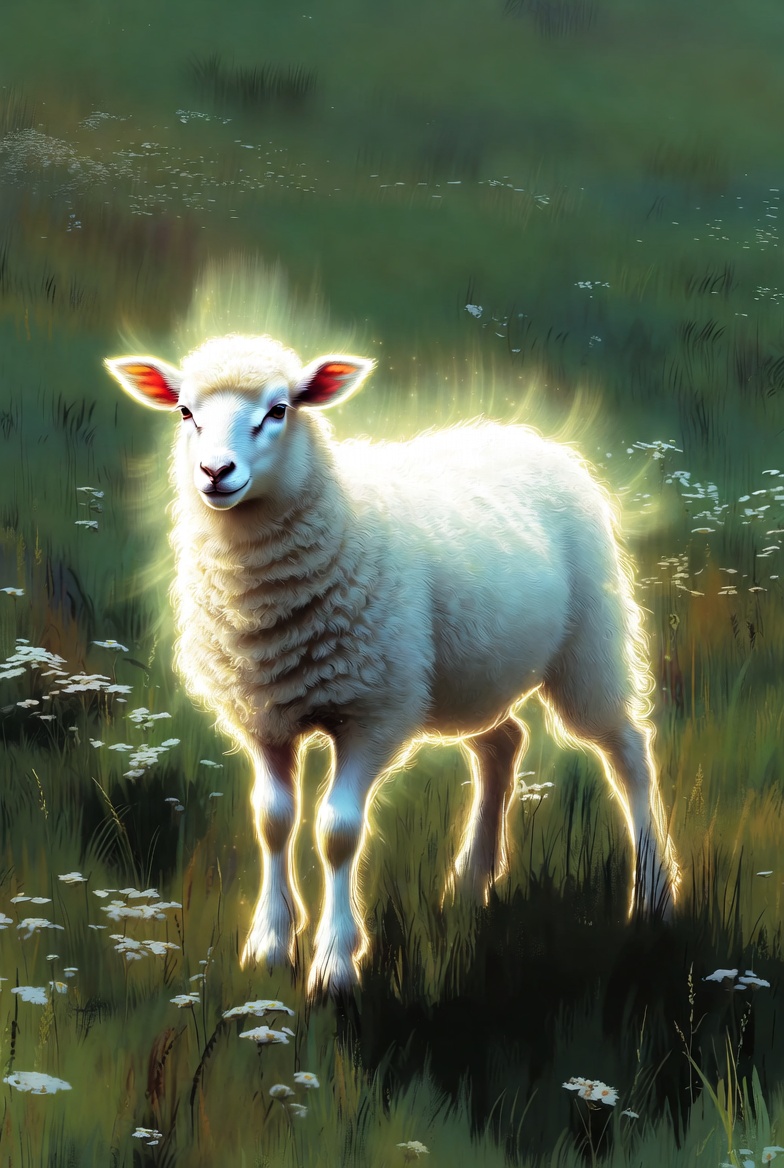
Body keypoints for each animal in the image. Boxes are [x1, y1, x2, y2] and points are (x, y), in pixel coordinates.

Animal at [105, 332, 680, 995]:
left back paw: (654, 895)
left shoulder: (373, 711)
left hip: (588, 647)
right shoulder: (264, 716)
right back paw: (471, 882)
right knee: (502, 744)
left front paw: (335, 962)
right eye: (185, 412)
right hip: (470, 674)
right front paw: (270, 945)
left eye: (280, 409)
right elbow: (273, 820)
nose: (215, 473)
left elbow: (338, 831)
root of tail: (525, 434)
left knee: (629, 753)